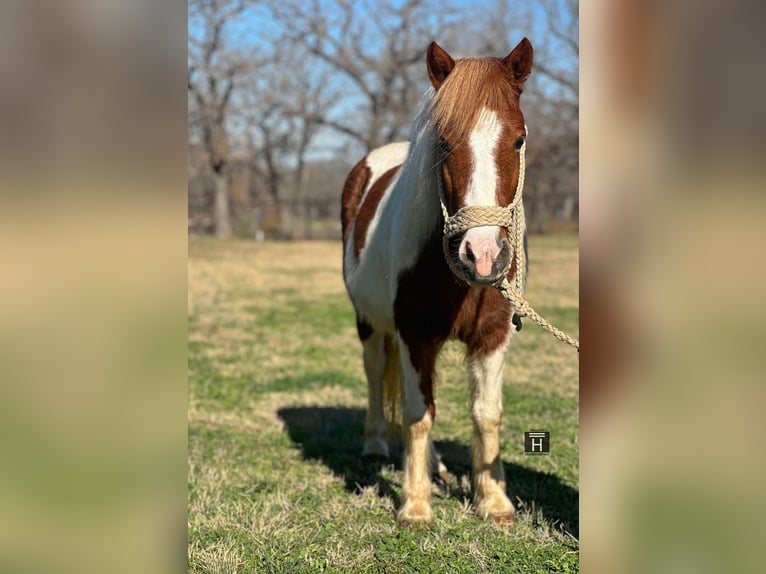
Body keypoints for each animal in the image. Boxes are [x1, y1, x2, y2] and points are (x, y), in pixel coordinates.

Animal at [342, 38, 536, 528]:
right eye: (444, 144)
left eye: (519, 139)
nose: (482, 255)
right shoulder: (414, 336)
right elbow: (417, 416)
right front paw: (414, 505)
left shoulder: (492, 336)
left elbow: (487, 415)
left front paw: (494, 501)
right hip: (369, 322)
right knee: (376, 373)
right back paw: (376, 444)